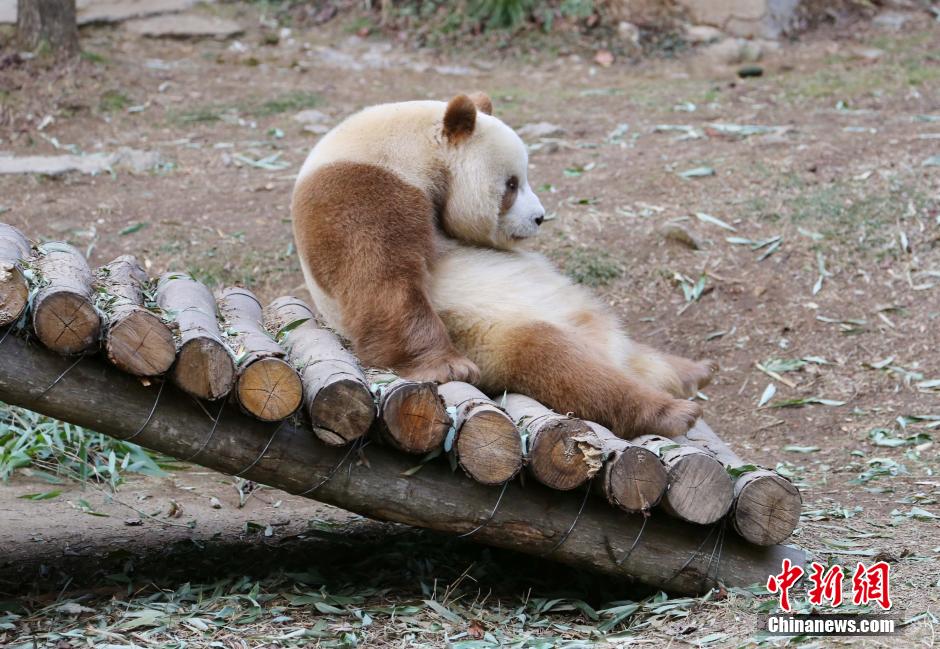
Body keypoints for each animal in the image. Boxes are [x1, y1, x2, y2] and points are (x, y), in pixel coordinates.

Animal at [291, 93, 715, 438]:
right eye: (511, 184)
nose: (539, 218)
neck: (407, 148)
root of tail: (613, 354)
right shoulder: (363, 188)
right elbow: (384, 280)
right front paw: (449, 369)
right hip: (492, 334)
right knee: (563, 364)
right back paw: (671, 411)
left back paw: (691, 372)